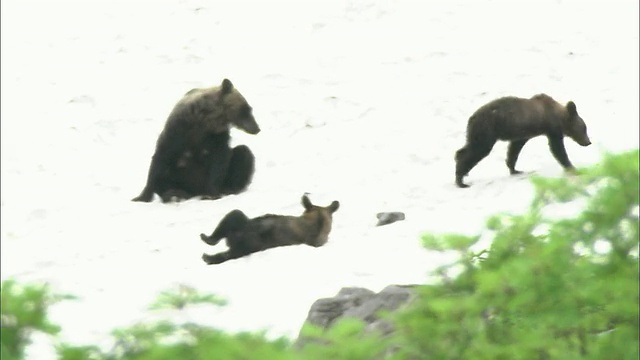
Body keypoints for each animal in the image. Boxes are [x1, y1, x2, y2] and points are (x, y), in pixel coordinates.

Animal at [456, 93, 592, 188]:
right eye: (584, 128)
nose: (588, 142)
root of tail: (472, 117)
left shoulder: (523, 133)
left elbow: (514, 149)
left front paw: (514, 169)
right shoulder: (552, 129)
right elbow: (557, 148)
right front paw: (572, 168)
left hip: (477, 132)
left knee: (467, 147)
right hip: (486, 130)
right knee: (478, 149)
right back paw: (461, 180)